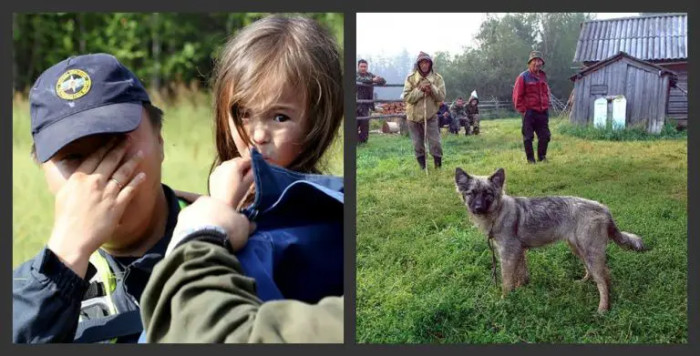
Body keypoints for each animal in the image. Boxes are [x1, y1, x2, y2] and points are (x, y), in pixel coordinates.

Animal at [454, 167, 644, 312]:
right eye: (471, 193)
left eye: (488, 193)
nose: (478, 208)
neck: (499, 212)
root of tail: (603, 208)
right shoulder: (519, 251)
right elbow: (520, 275)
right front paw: (520, 290)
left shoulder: (508, 253)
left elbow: (507, 281)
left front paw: (504, 300)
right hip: (578, 248)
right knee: (593, 272)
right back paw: (583, 282)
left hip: (590, 252)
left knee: (604, 280)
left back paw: (603, 309)